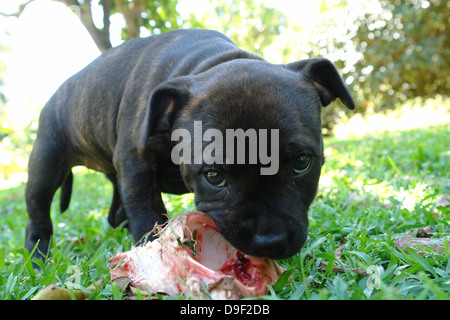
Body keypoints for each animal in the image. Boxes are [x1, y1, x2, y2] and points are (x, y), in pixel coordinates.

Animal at [24, 28, 356, 262]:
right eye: (214, 176)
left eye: (301, 162)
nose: (269, 241)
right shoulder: (136, 164)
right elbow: (148, 214)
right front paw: (154, 253)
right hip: (45, 164)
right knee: (38, 213)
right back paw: (38, 257)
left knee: (115, 212)